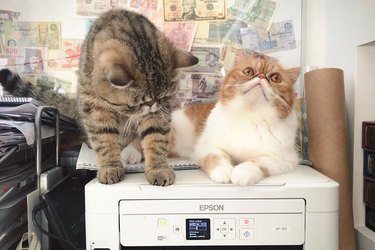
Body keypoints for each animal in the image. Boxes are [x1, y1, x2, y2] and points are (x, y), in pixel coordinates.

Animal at [0, 9, 198, 186]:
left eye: (165, 97)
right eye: (133, 105)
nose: (151, 106)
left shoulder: (159, 111)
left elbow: (155, 136)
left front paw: (158, 168)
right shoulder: (95, 107)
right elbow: (104, 137)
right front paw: (110, 167)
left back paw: (131, 153)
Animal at [122, 52, 302, 185]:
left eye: (276, 78)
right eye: (248, 71)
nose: (261, 77)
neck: (250, 114)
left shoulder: (282, 160)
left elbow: (256, 163)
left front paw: (241, 173)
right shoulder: (208, 147)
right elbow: (216, 158)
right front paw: (224, 172)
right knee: (145, 140)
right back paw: (130, 153)